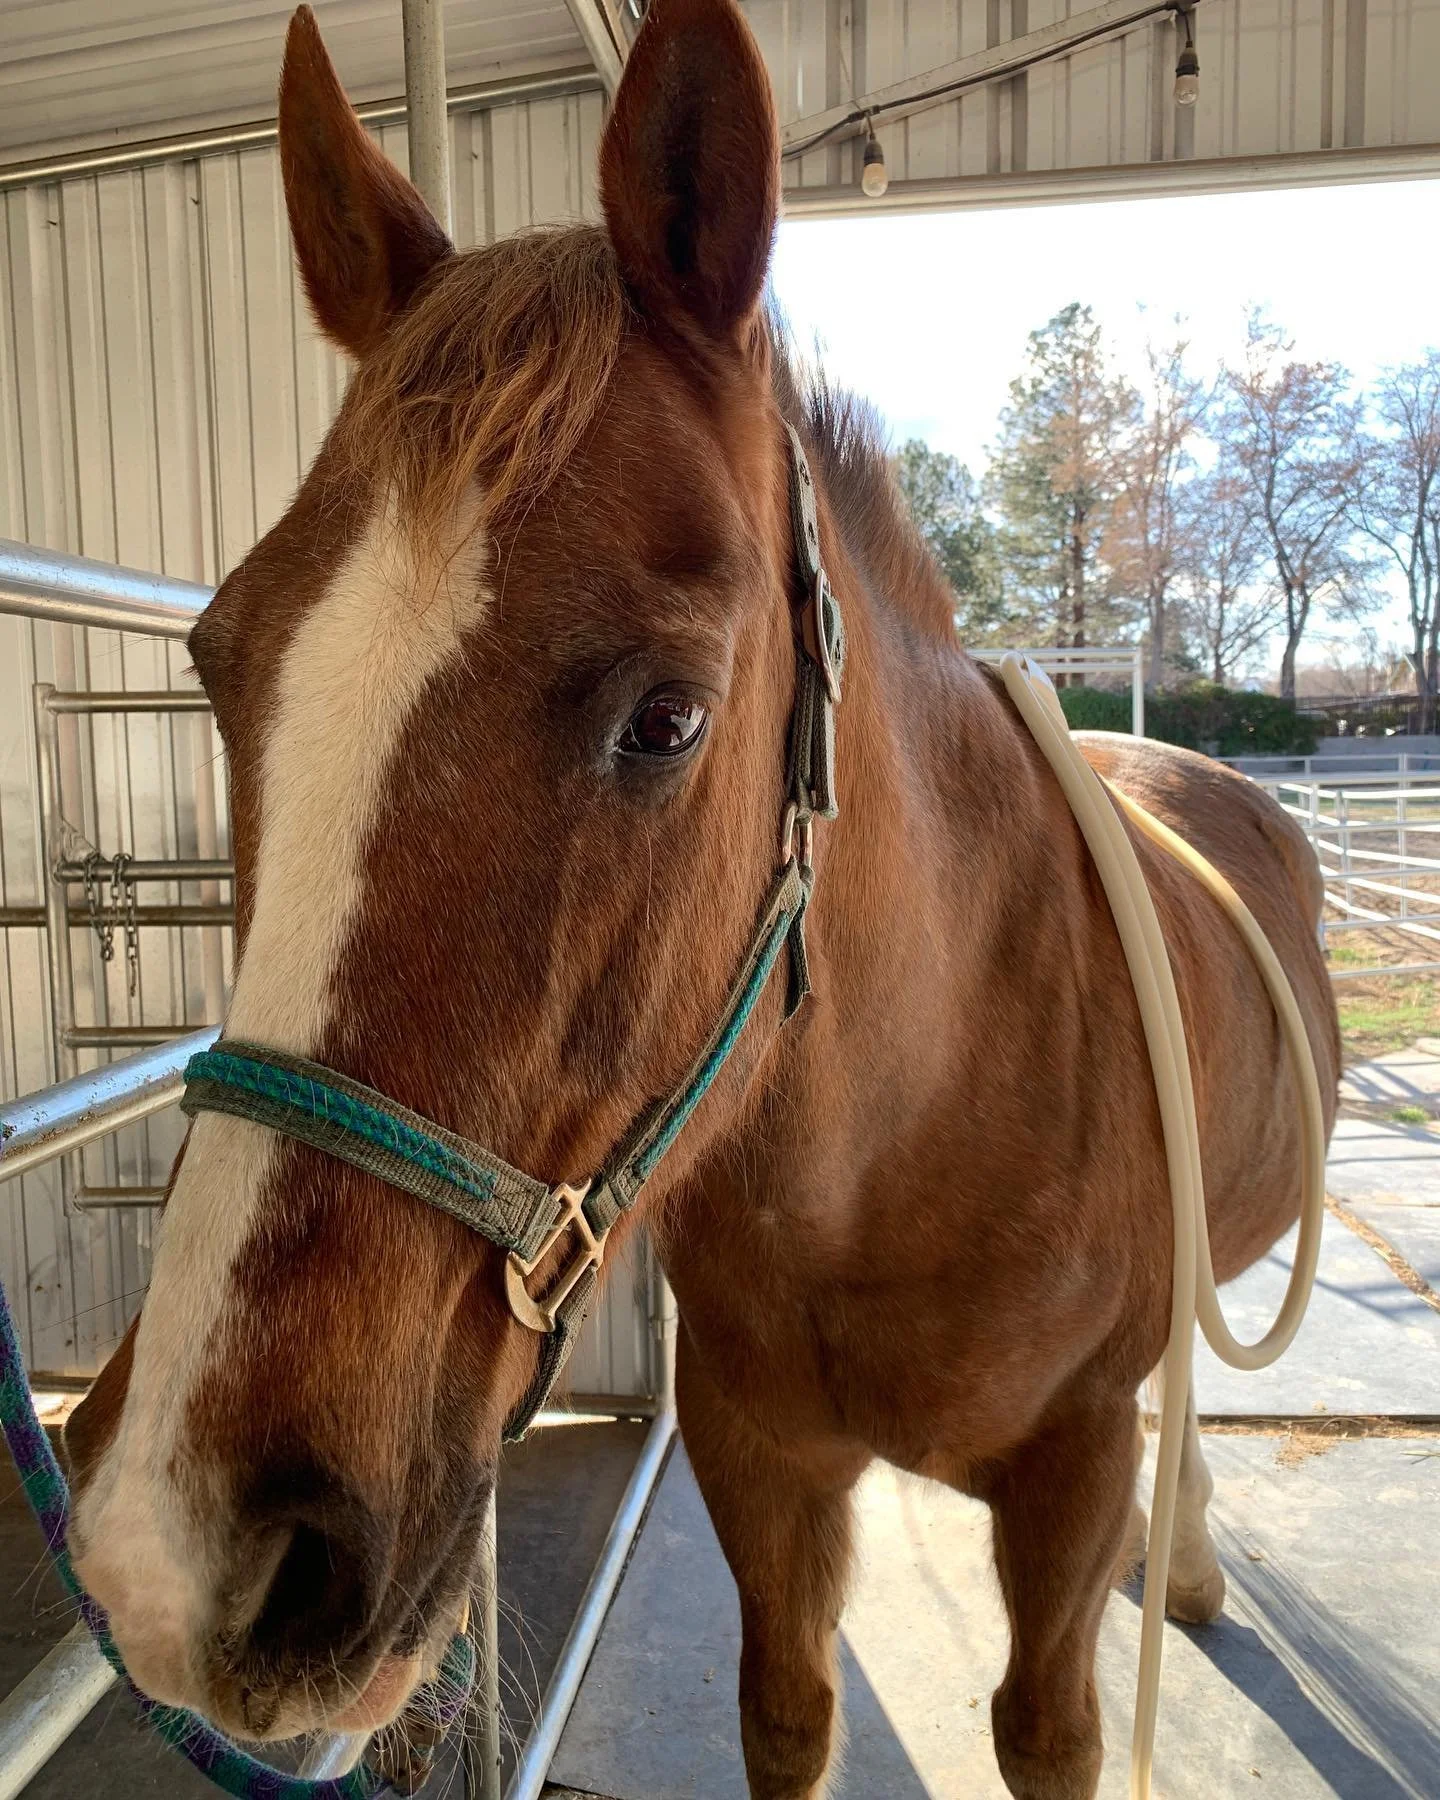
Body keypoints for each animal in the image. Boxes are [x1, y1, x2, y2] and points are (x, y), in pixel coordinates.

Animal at [62, 2, 1341, 1795]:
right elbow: (788, 1718)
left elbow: (1055, 1719)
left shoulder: (1071, 1485)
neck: (918, 1120)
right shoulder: (762, 1470)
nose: (174, 1548)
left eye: (665, 718)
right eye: (217, 660)